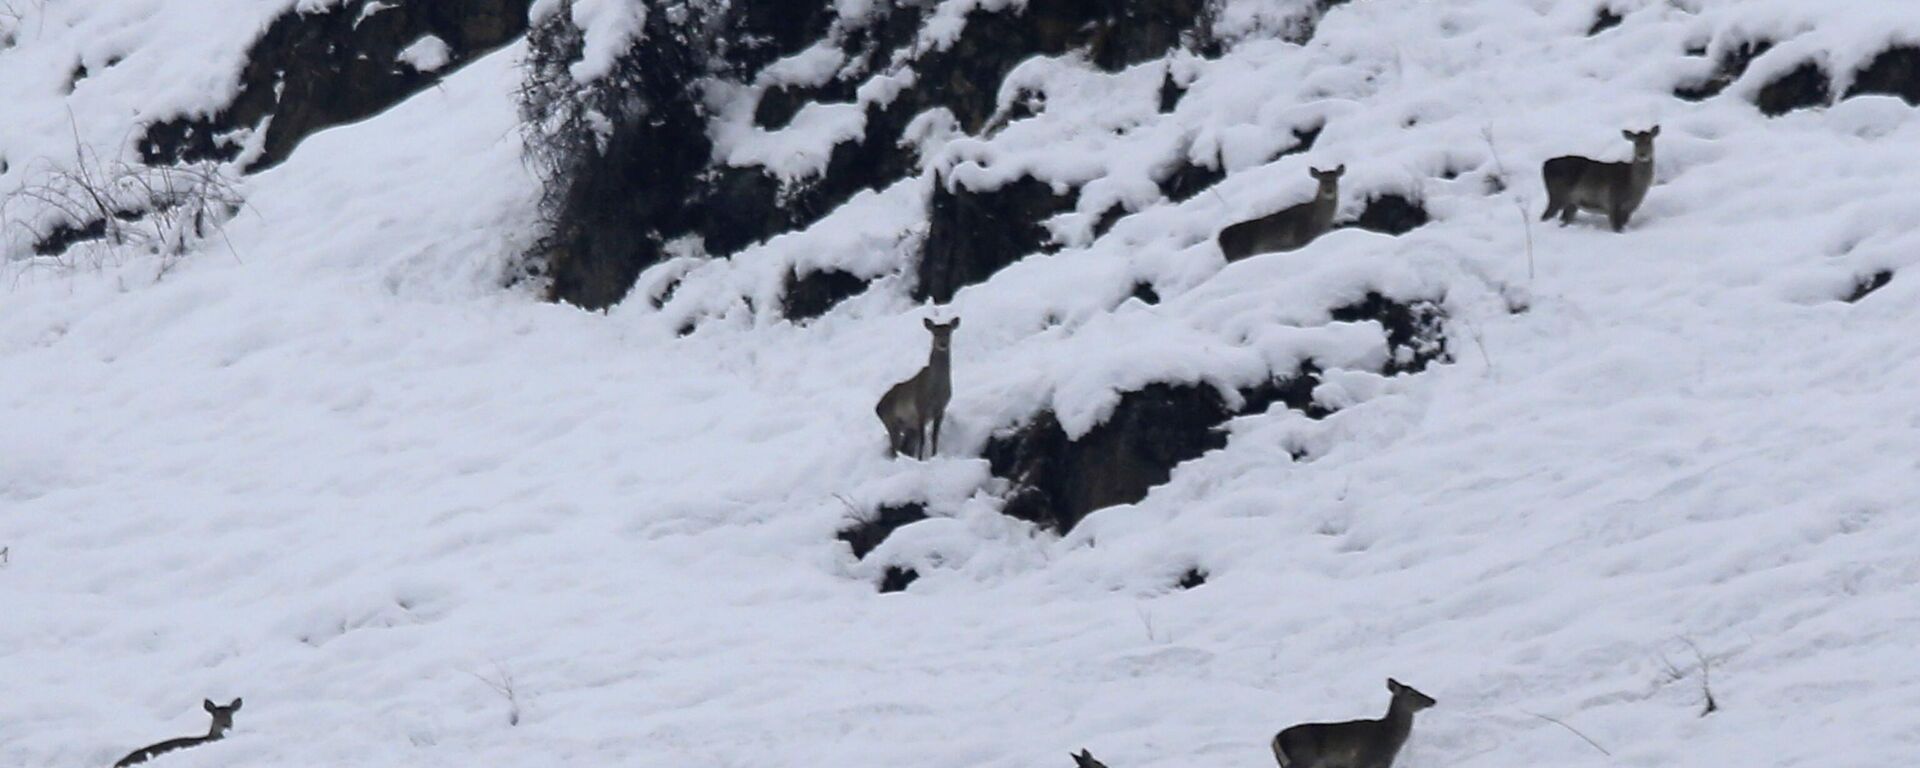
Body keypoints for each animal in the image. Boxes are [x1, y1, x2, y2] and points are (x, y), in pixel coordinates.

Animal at [875, 316, 956, 458]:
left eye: (949, 332)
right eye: (935, 333)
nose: (943, 344)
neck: (936, 390)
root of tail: (877, 408)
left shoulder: (941, 409)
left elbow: (934, 437)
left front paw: (934, 456)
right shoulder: (920, 408)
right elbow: (923, 439)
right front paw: (920, 459)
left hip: (908, 428)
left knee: (905, 448)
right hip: (891, 422)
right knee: (895, 449)